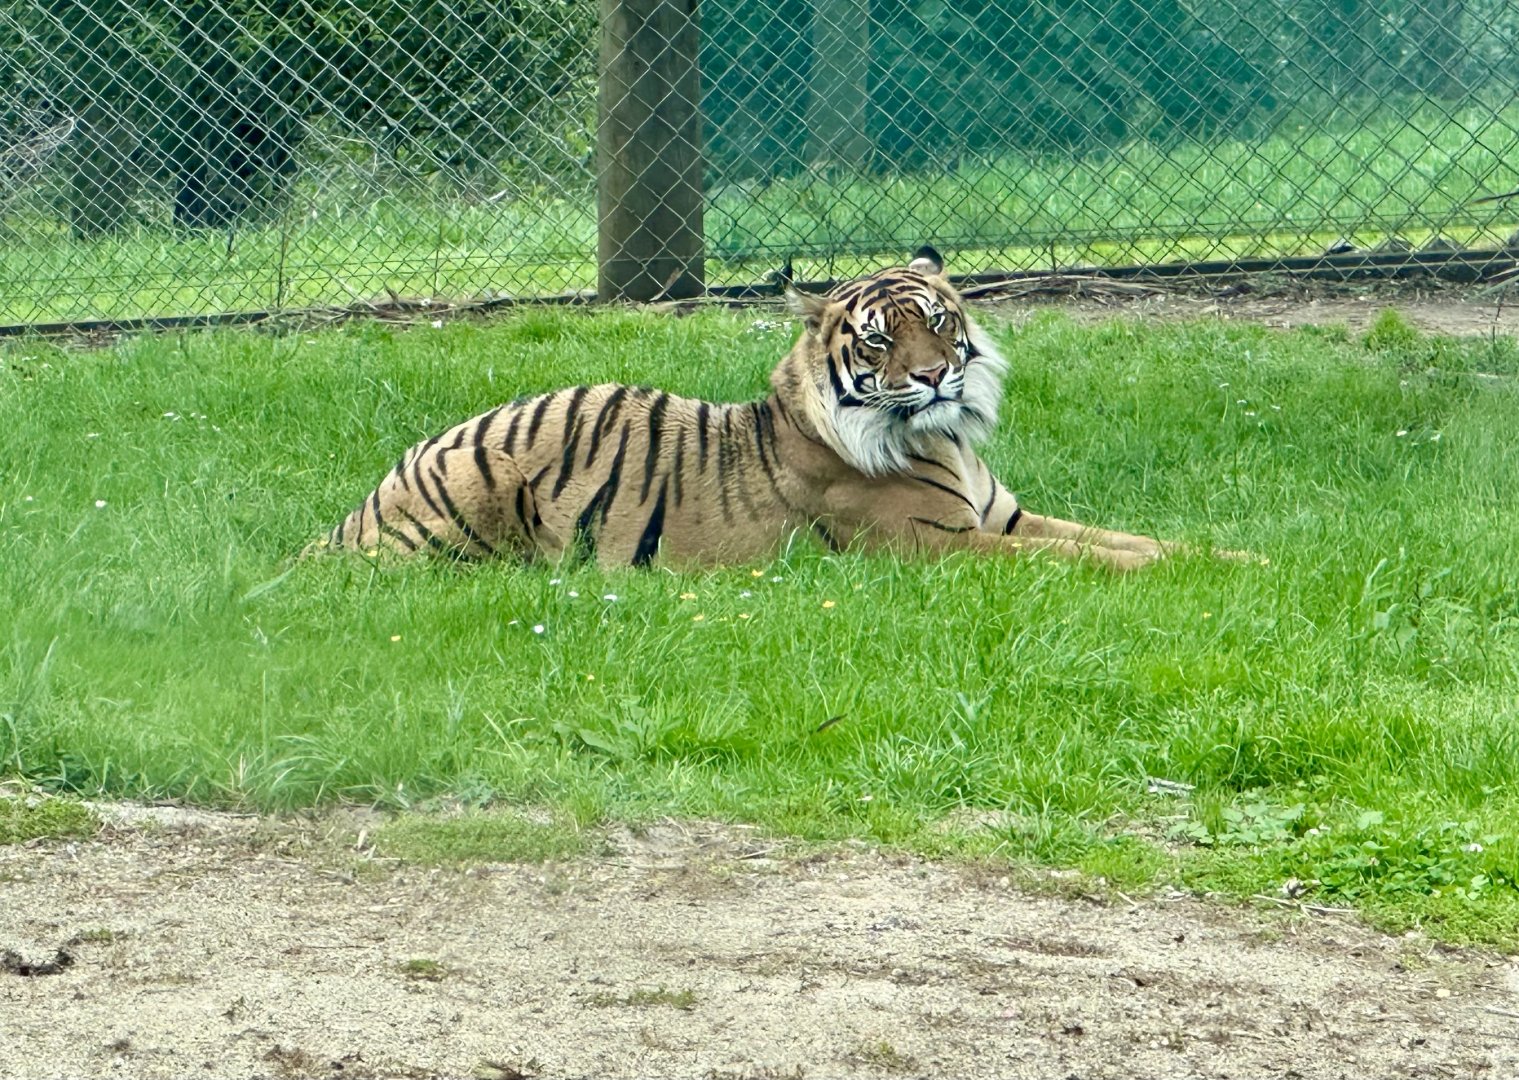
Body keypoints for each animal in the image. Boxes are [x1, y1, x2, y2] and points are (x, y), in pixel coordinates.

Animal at [309, 247, 1205, 572]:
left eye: (937, 319)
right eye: (877, 341)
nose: (932, 378)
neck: (944, 438)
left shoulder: (1004, 517)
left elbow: (1132, 540)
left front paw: (1229, 560)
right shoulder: (938, 548)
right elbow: (1089, 559)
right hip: (479, 483)